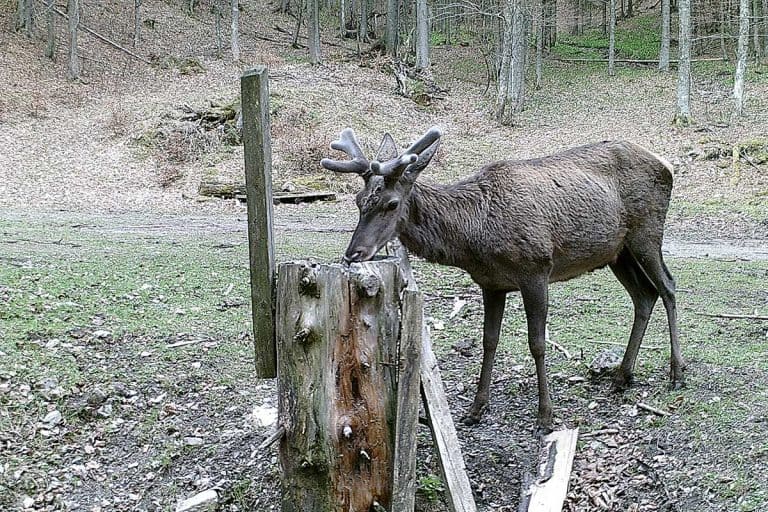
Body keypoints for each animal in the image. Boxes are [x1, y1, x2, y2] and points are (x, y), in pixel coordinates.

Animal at [320, 126, 684, 431]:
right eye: (359, 201)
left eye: (392, 203)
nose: (353, 254)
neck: (476, 237)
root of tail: (666, 165)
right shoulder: (491, 283)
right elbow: (489, 341)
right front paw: (476, 409)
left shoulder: (536, 269)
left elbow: (537, 343)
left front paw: (545, 415)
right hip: (618, 252)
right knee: (644, 295)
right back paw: (622, 376)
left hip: (647, 231)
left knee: (667, 287)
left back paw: (676, 373)